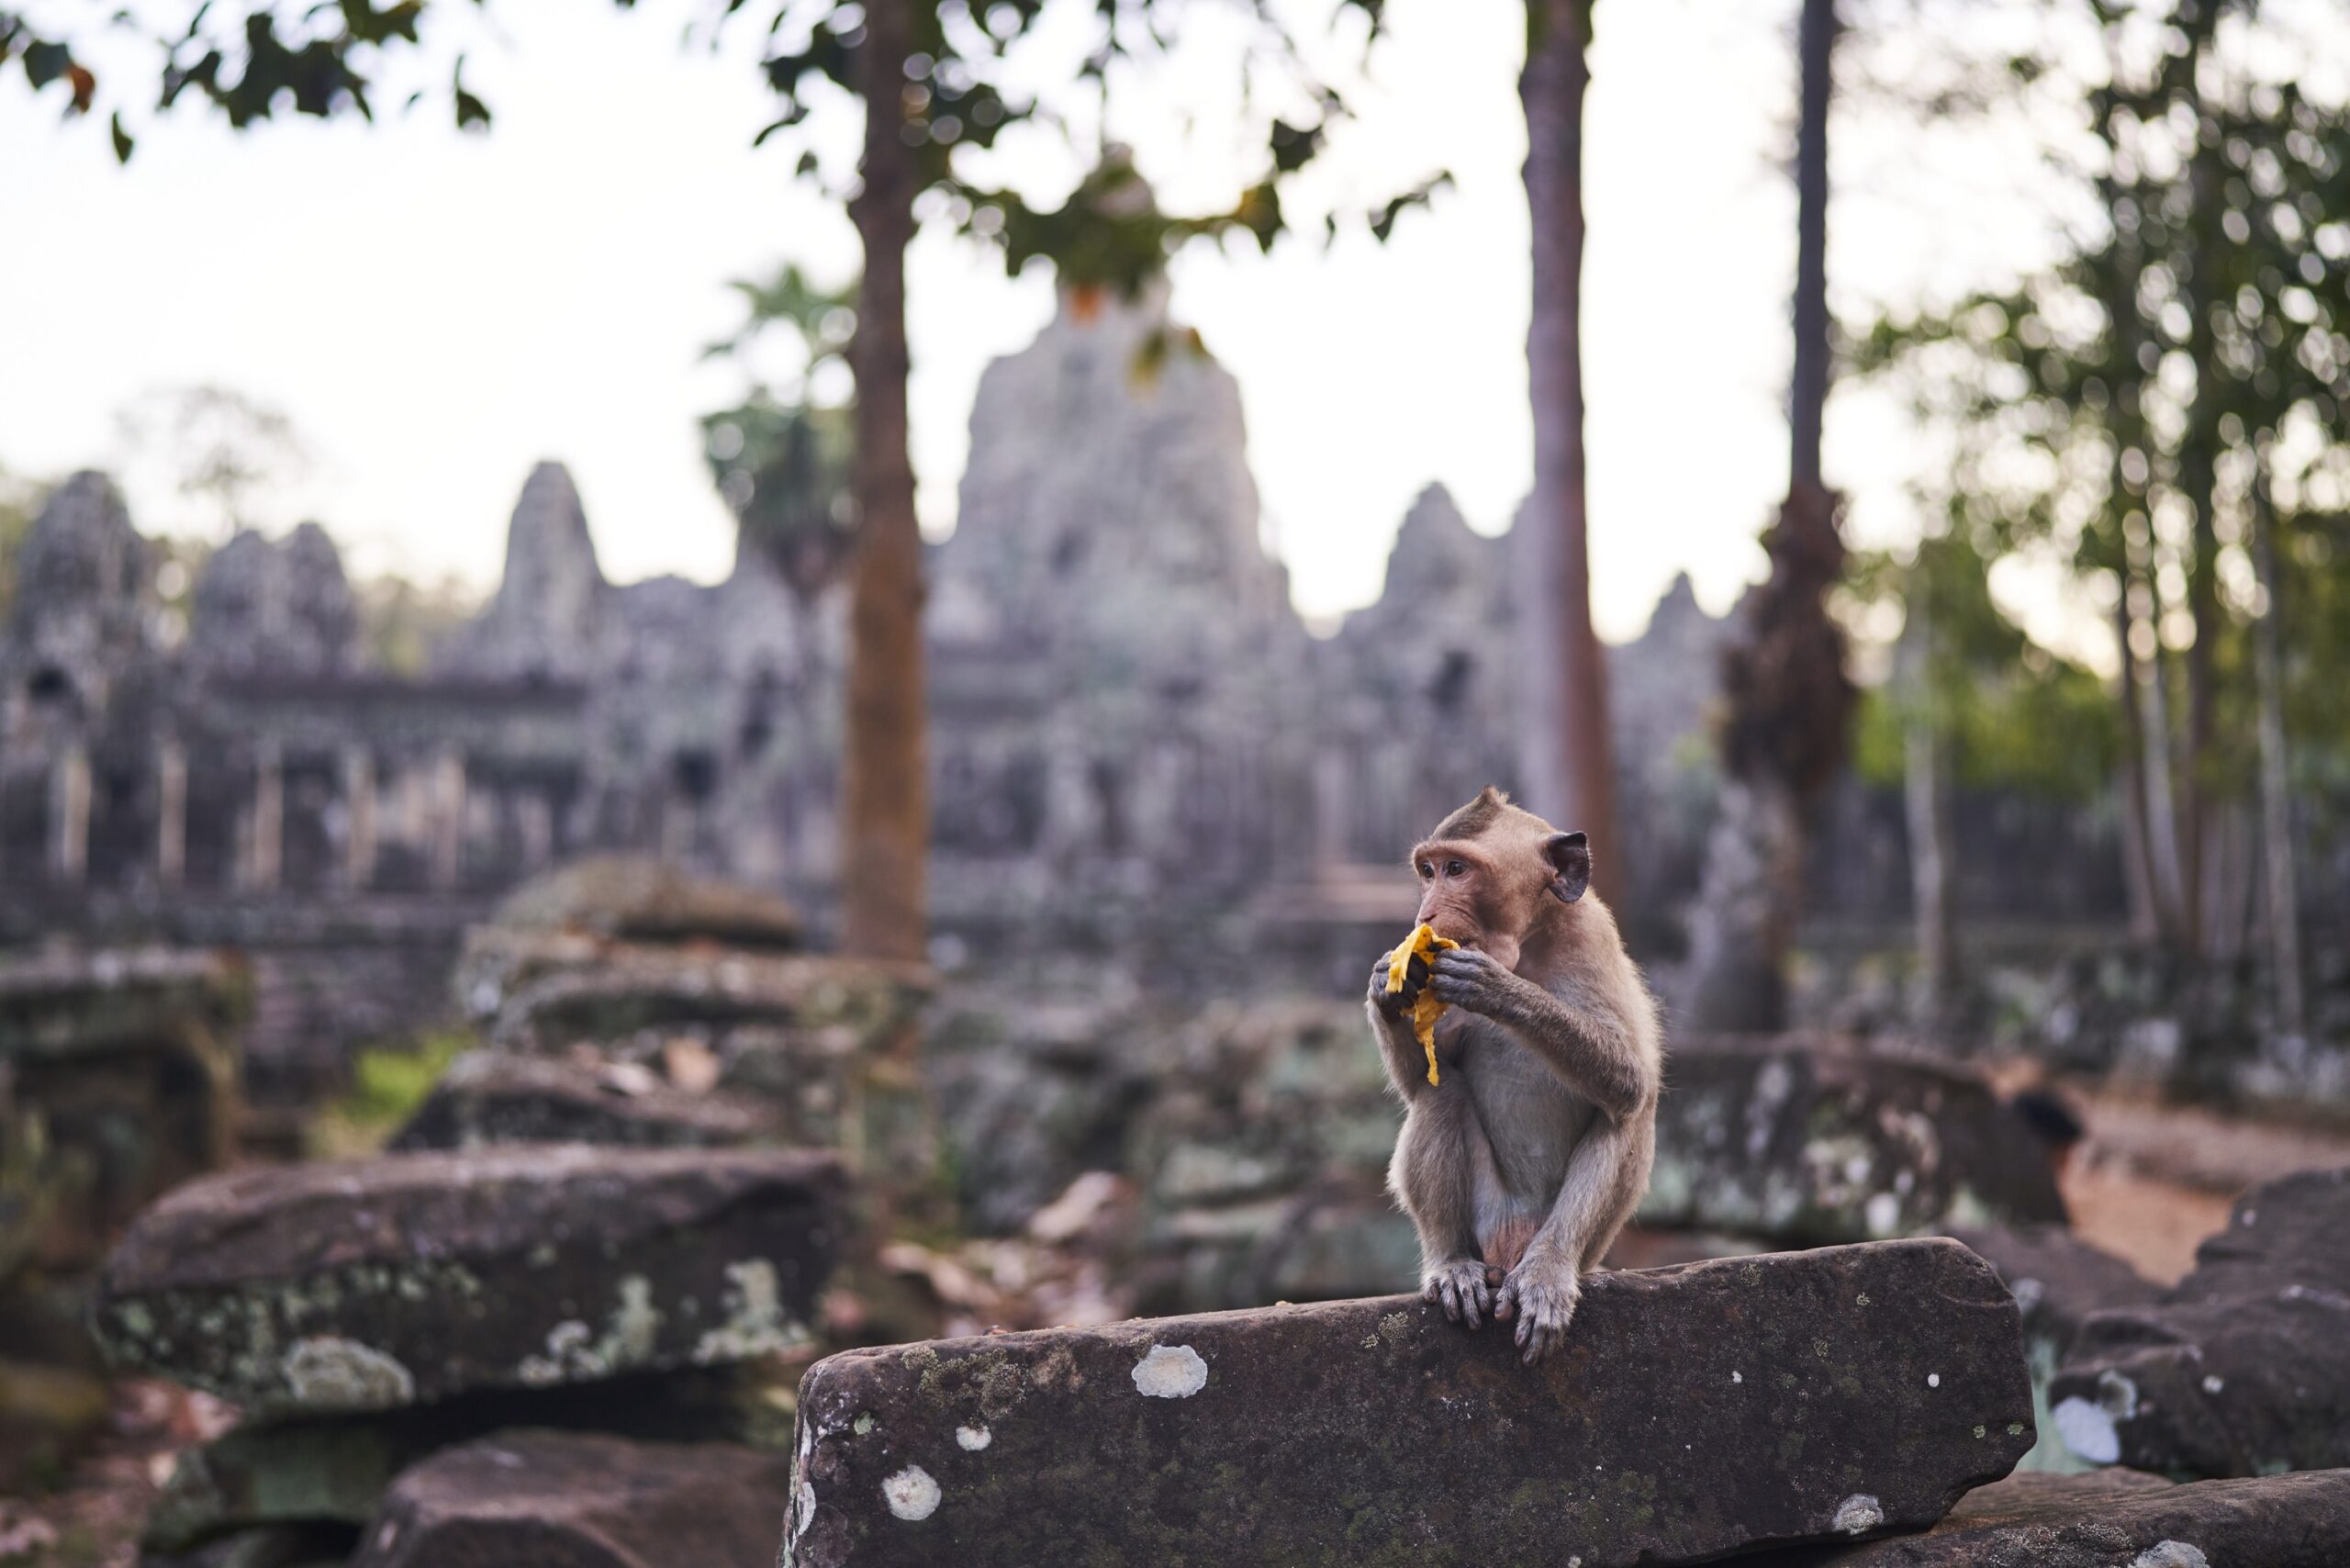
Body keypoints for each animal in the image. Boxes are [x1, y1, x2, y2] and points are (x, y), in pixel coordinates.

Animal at [1372, 785, 1663, 1363]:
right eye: (1428, 870)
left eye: (1456, 869)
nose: (1426, 912)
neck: (1524, 945)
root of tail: (1511, 1246)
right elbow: (1423, 1081)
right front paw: (1388, 985)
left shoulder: (1592, 937)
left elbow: (1629, 1079)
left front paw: (1497, 990)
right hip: (1489, 1214)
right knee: (1441, 1097)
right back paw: (1452, 1264)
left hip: (1568, 1240)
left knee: (1624, 1117)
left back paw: (1548, 1272)